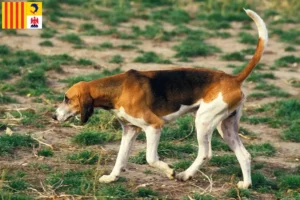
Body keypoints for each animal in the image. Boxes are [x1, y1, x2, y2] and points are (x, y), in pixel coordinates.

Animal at [51, 8, 268, 188]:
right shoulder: (130, 130)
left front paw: (169, 171)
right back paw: (245, 185)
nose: (53, 117)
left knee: (205, 153)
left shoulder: (154, 126)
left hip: (203, 122)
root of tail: (234, 78)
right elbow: (120, 158)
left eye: (67, 98)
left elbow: (151, 159)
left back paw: (184, 174)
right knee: (244, 155)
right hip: (225, 127)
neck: (117, 90)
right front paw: (112, 177)